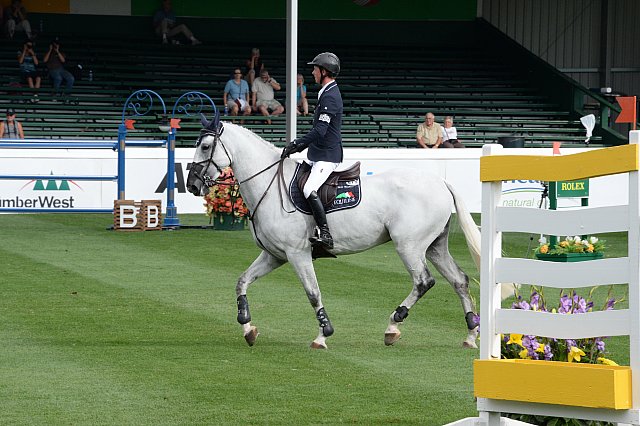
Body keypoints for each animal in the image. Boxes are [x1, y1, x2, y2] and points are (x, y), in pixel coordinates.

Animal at [188, 119, 482, 350]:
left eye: (205, 146)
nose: (191, 185)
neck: (269, 186)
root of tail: (440, 182)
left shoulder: (297, 254)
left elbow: (312, 293)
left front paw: (323, 335)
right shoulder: (275, 255)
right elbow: (242, 282)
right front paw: (248, 328)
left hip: (409, 246)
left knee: (423, 282)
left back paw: (393, 325)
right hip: (434, 246)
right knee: (460, 281)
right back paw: (471, 334)